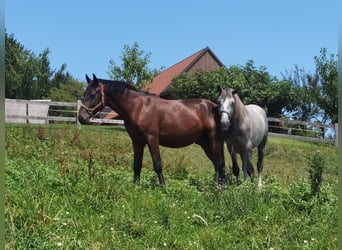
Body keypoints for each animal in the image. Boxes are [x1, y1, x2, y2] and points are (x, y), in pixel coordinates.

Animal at [79, 74, 226, 186]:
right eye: (84, 94)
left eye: (93, 95)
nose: (81, 117)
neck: (138, 107)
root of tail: (213, 107)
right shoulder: (137, 141)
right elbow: (137, 164)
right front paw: (135, 185)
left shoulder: (152, 139)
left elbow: (157, 164)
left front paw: (163, 187)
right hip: (205, 143)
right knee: (217, 163)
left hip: (213, 140)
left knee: (218, 162)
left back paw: (216, 186)